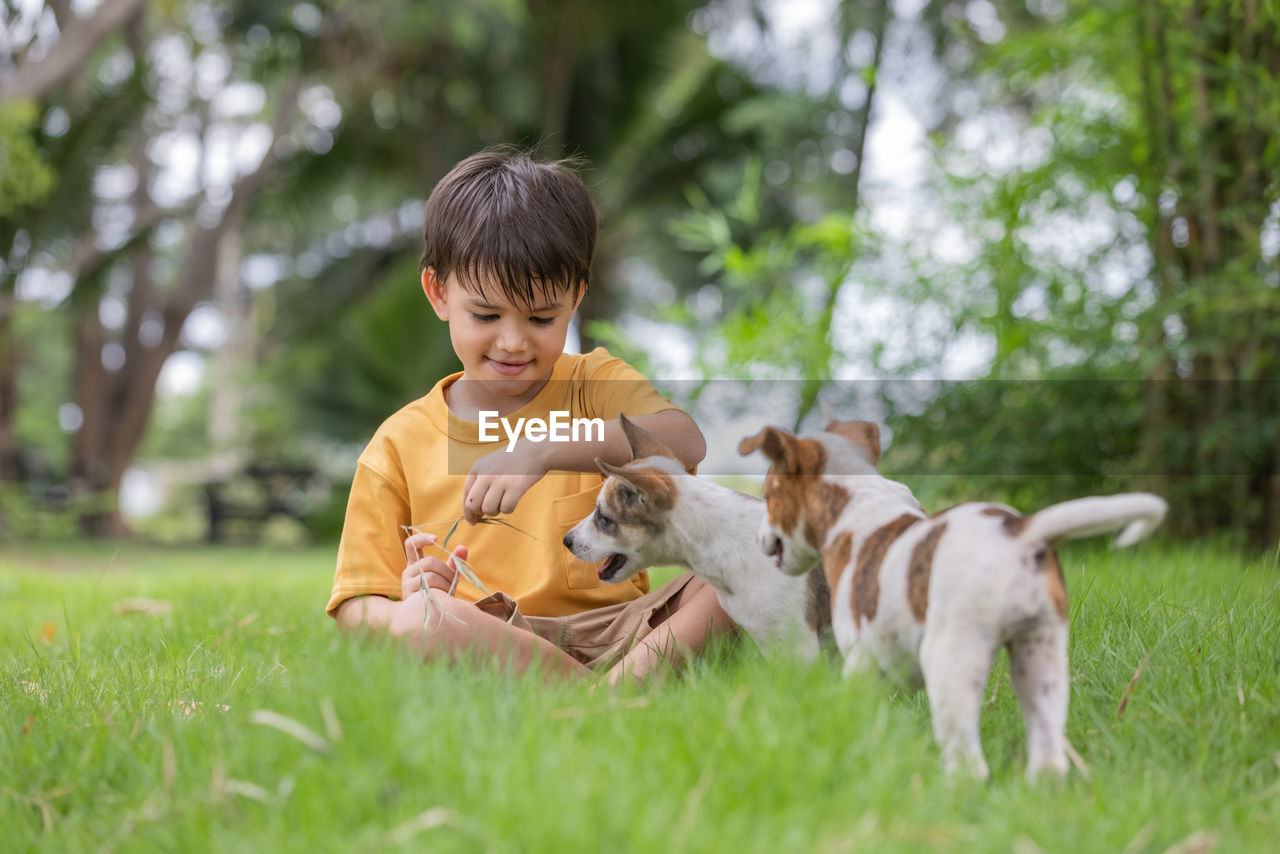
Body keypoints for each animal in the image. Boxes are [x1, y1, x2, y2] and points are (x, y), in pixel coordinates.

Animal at [742, 419, 1172, 783]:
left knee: (969, 764)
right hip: (1041, 656)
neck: (858, 506)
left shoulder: (863, 661)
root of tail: (1020, 532)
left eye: (768, 495)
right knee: (1049, 756)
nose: (761, 540)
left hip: (951, 660)